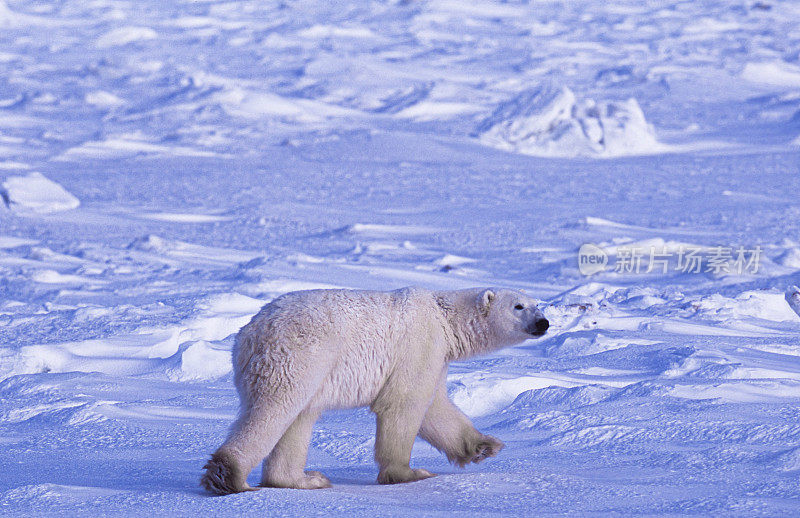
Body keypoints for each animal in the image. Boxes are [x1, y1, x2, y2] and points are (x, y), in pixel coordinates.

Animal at [200, 288, 552, 496]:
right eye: (519, 306)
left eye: (538, 305)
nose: (544, 323)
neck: (445, 318)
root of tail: (247, 335)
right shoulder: (419, 344)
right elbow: (404, 403)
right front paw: (409, 473)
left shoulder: (435, 358)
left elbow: (436, 407)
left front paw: (484, 446)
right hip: (300, 355)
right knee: (275, 409)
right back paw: (229, 476)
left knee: (299, 418)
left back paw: (305, 479)